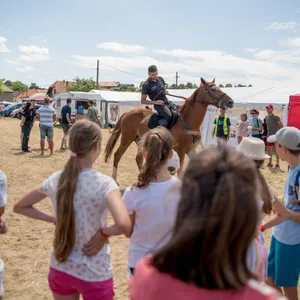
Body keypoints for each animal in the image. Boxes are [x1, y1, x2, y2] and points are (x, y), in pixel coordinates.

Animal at [105, 78, 234, 180]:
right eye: (213, 90)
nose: (230, 102)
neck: (187, 121)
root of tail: (128, 112)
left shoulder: (191, 149)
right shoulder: (180, 150)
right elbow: (180, 172)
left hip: (140, 141)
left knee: (138, 158)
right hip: (126, 139)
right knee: (117, 155)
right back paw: (115, 179)